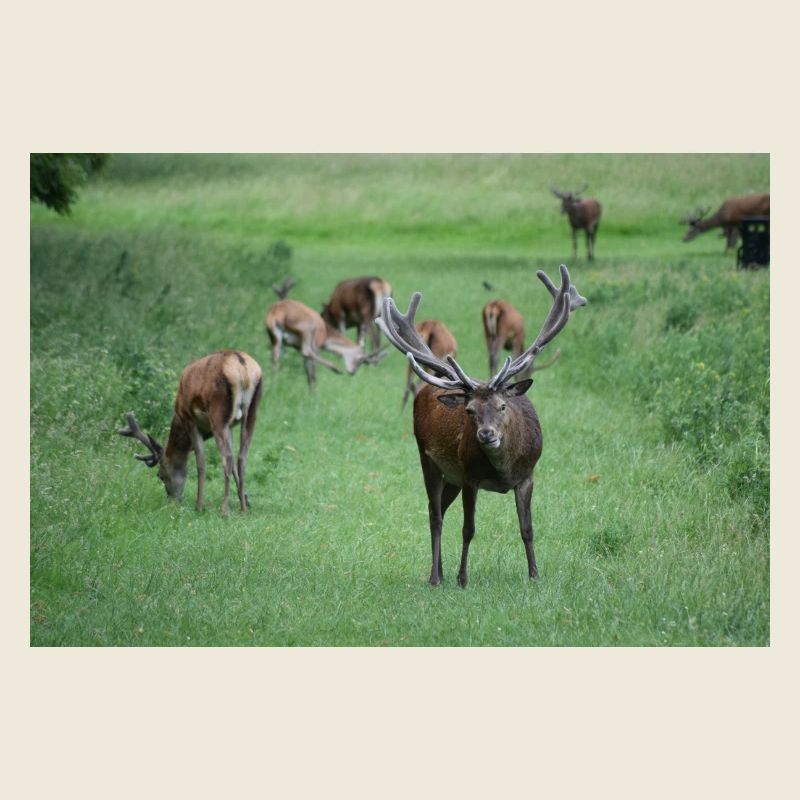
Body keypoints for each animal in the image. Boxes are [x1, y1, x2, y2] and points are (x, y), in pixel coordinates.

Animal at [118, 350, 263, 516]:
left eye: (161, 475)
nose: (172, 501)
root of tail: (242, 365)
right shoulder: (231, 426)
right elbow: (233, 467)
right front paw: (244, 499)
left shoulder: (190, 419)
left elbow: (200, 462)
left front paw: (199, 505)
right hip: (252, 412)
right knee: (241, 458)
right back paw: (243, 509)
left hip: (218, 413)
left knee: (227, 458)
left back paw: (224, 510)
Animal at [376, 264, 586, 587]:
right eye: (469, 410)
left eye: (502, 406)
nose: (486, 435)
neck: (503, 468)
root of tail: (426, 389)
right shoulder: (470, 477)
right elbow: (469, 529)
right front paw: (463, 579)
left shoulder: (527, 475)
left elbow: (527, 528)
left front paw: (534, 575)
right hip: (428, 459)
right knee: (434, 514)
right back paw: (436, 577)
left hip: (451, 477)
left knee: (441, 508)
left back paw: (440, 571)